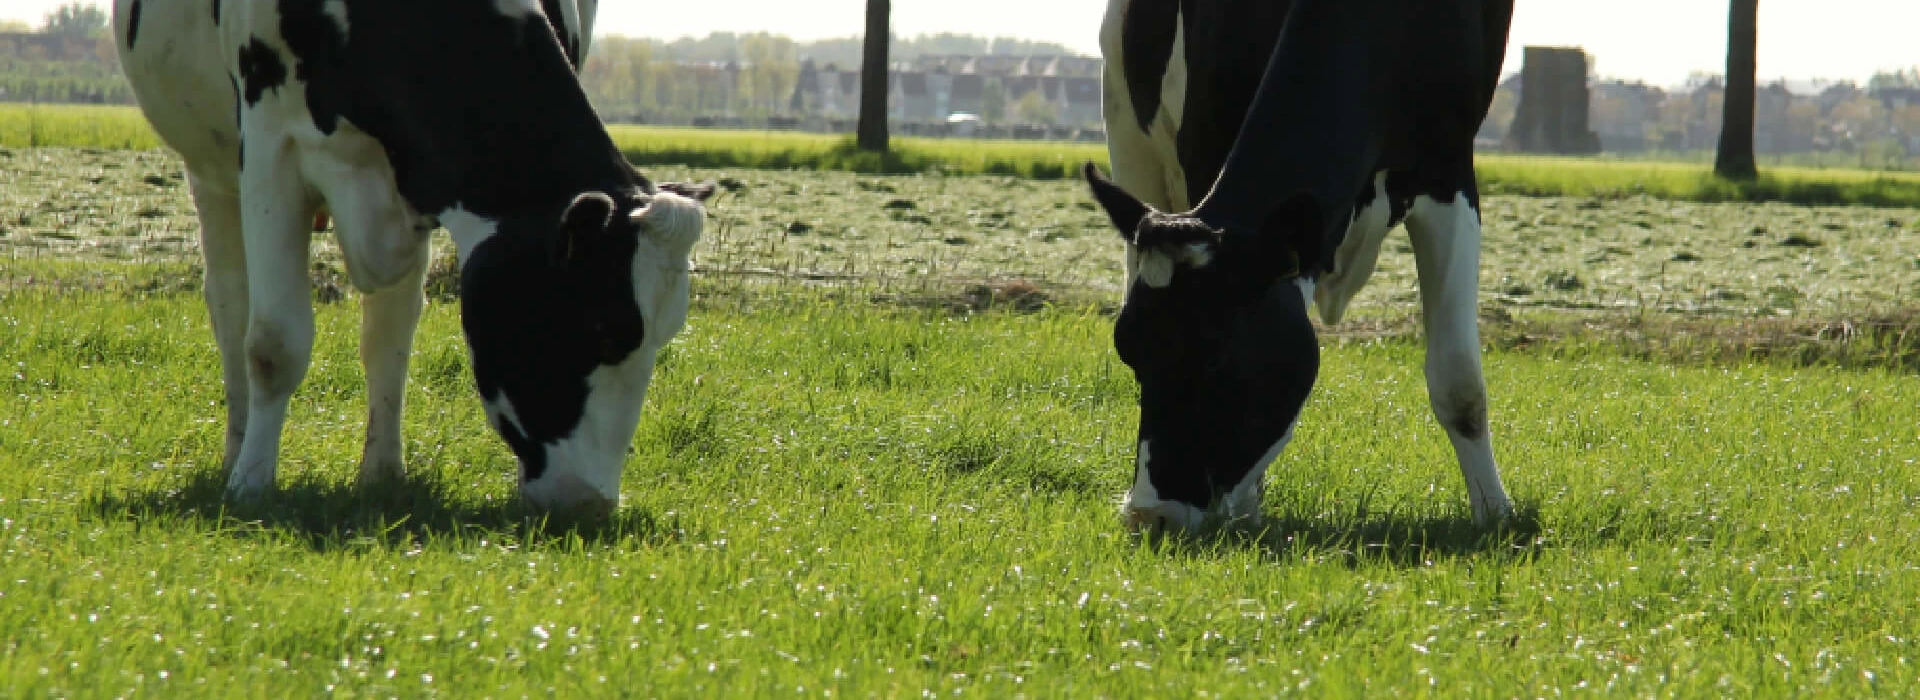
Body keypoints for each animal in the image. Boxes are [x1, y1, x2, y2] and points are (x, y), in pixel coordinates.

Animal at [111, 0, 713, 513]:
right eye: (604, 328)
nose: (590, 502)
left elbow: (392, 342)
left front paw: (381, 476)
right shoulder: (268, 144)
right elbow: (273, 343)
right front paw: (252, 485)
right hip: (210, 170)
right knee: (231, 308)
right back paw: (237, 452)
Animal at [1085, 0, 1517, 533]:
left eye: (1218, 354)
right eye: (1128, 353)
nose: (1151, 514)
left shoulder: (1448, 168)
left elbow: (1460, 383)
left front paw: (1495, 515)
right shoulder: (1203, 139)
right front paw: (1247, 512)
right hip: (1128, 135)